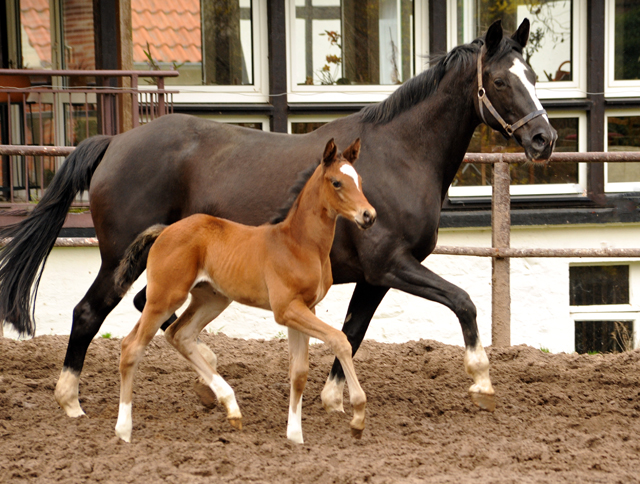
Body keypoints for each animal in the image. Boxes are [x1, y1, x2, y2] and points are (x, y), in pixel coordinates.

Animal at [114, 138, 376, 444]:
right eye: (336, 182)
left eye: (359, 180)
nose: (369, 215)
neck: (300, 244)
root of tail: (164, 231)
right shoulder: (286, 310)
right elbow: (340, 340)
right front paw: (357, 416)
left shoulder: (303, 309)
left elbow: (299, 371)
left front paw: (295, 436)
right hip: (164, 298)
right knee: (131, 347)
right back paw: (123, 430)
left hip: (212, 299)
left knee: (180, 335)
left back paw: (232, 407)